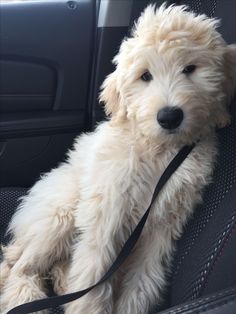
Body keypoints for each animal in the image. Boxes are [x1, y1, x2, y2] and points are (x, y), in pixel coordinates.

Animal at [0, 3, 236, 314]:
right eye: (145, 76)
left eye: (190, 68)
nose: (169, 116)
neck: (160, 151)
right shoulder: (107, 212)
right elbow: (94, 273)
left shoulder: (162, 227)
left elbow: (143, 280)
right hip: (59, 215)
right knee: (18, 266)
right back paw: (28, 299)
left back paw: (60, 283)